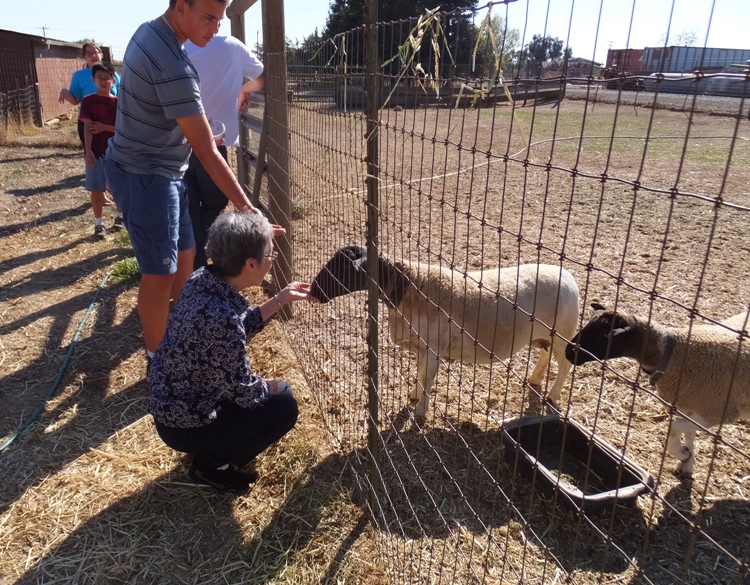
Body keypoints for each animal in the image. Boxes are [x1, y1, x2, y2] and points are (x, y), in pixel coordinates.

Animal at [310, 244, 580, 418]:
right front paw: (414, 395)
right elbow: (420, 374)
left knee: (565, 365)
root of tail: (569, 277)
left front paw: (420, 411)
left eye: (344, 267)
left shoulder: (433, 348)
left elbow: (427, 377)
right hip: (546, 335)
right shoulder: (421, 347)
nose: (313, 290)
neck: (410, 286)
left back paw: (552, 396)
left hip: (562, 333)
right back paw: (535, 379)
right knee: (545, 354)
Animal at [568, 304, 750, 476]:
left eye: (602, 335)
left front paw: (683, 455)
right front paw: (687, 462)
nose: (568, 351)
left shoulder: (717, 411)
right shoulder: (690, 409)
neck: (673, 355)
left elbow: (674, 428)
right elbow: (689, 432)